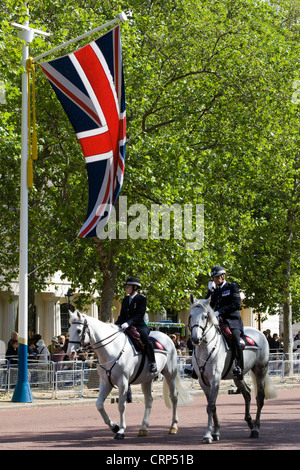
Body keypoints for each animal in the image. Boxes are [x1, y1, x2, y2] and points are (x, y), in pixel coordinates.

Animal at [67, 310, 192, 438]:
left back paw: (173, 426)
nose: (70, 353)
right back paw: (143, 428)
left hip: (170, 374)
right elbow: (99, 405)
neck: (112, 349)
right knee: (149, 400)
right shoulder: (106, 382)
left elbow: (121, 405)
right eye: (69, 329)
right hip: (147, 379)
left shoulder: (123, 382)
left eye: (78, 330)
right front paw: (114, 426)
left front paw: (121, 430)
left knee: (174, 397)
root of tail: (167, 337)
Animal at [189, 298, 276, 444]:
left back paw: (255, 429)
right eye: (190, 315)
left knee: (260, 397)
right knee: (247, 393)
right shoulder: (203, 381)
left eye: (205, 316)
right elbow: (212, 406)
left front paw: (207, 435)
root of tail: (260, 332)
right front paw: (216, 432)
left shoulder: (215, 379)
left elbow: (210, 406)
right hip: (237, 377)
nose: (196, 339)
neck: (205, 347)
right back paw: (250, 422)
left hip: (260, 370)